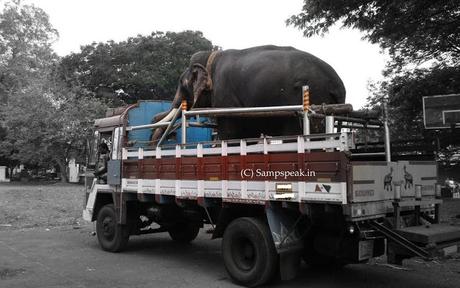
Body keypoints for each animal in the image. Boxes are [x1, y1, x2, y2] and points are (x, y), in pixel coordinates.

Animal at [153, 44, 346, 142]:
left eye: (181, 83)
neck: (210, 58)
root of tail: (337, 84)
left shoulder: (226, 98)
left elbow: (229, 134)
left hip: (313, 96)